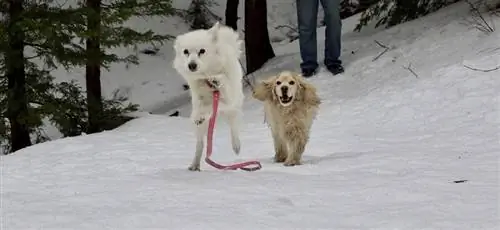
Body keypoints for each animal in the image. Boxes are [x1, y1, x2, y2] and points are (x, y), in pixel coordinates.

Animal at [172, 22, 244, 172]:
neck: (206, 77)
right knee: (200, 144)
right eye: (186, 52)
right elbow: (202, 107)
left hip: (234, 109)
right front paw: (198, 116)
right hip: (201, 130)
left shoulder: (227, 99)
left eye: (202, 51)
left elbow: (213, 101)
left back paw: (236, 146)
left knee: (234, 127)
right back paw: (195, 165)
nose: (192, 65)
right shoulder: (198, 97)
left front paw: (217, 80)